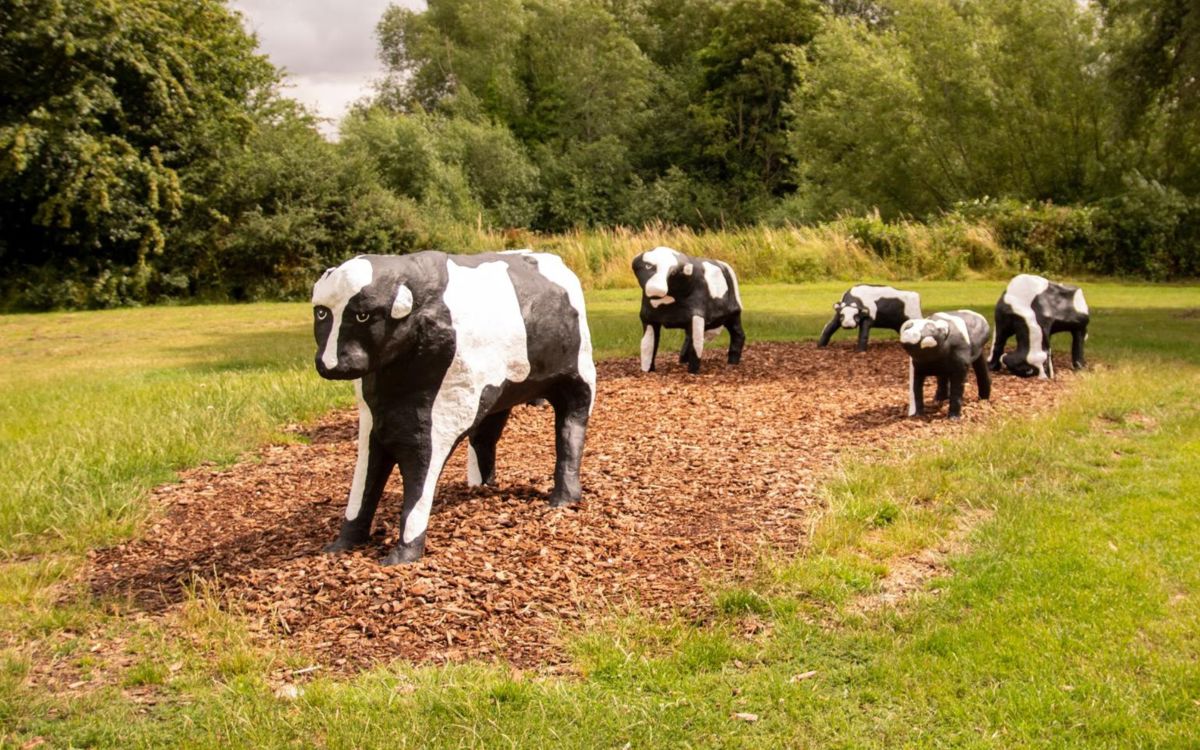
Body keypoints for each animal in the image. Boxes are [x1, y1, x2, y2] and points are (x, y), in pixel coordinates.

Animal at [311, 250, 596, 565]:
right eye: (321, 313)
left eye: (363, 315)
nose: (330, 364)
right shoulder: (373, 423)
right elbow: (364, 483)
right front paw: (343, 543)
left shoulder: (440, 418)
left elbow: (418, 480)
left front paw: (404, 552)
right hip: (500, 396)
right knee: (485, 437)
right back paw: (481, 486)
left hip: (578, 377)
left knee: (571, 428)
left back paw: (564, 496)